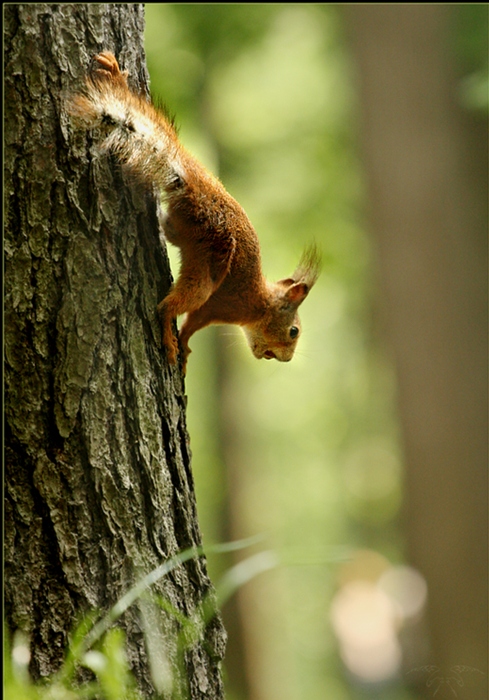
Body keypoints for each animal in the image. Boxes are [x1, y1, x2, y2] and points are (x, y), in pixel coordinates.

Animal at [69, 53, 320, 372]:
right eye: (293, 331)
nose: (284, 359)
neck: (259, 303)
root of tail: (191, 183)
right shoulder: (216, 308)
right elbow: (190, 326)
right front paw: (185, 349)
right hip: (207, 266)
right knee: (167, 307)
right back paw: (169, 342)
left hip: (186, 229)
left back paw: (116, 77)